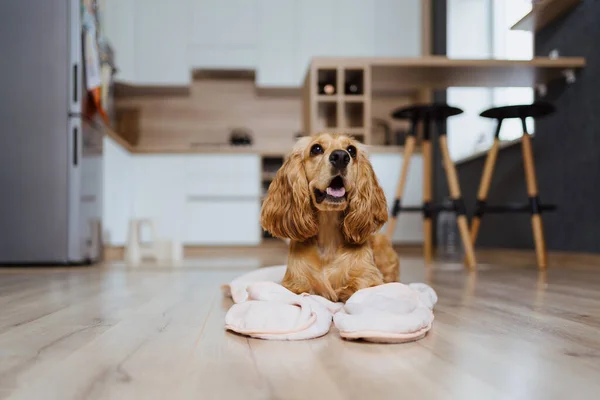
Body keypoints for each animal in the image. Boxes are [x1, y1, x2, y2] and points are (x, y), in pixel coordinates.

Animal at [262, 133, 398, 302]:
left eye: (352, 150)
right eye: (316, 149)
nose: (341, 156)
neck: (329, 239)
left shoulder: (371, 278)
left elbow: (358, 285)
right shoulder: (294, 283)